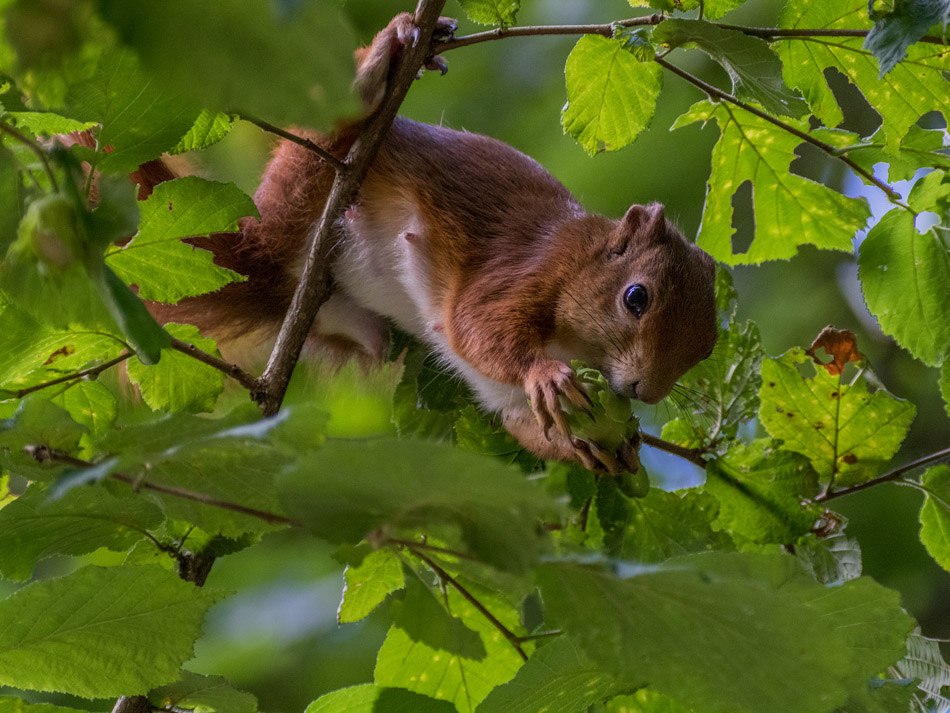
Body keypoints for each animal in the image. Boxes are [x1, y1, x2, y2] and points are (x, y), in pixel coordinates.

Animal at [147, 12, 712, 472]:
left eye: (705, 348)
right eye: (636, 298)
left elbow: (516, 416)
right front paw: (545, 374)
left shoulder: (507, 397)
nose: (644, 391)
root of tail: (259, 259)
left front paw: (610, 450)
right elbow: (475, 326)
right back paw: (375, 71)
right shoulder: (527, 269)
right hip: (303, 182)